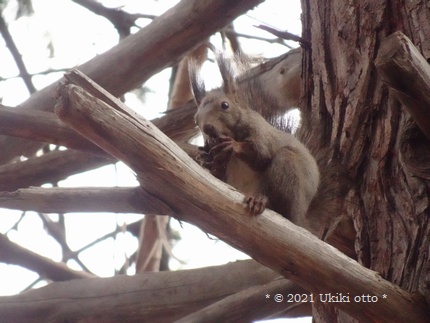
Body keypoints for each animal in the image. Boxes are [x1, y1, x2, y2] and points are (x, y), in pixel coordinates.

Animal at [188, 51, 320, 230]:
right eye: (196, 120)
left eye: (225, 105)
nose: (208, 128)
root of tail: (301, 218)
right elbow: (219, 176)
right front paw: (206, 159)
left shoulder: (260, 131)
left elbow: (262, 155)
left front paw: (233, 145)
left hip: (288, 170)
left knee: (280, 206)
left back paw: (261, 201)